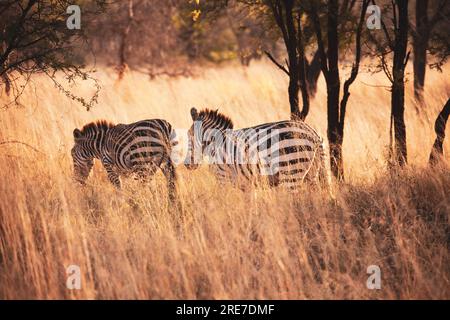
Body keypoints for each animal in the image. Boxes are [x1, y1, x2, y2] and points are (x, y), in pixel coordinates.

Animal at [184, 107, 330, 192]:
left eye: (189, 135)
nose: (187, 164)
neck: (217, 143)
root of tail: (313, 133)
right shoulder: (246, 186)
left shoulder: (223, 178)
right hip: (312, 175)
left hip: (292, 173)